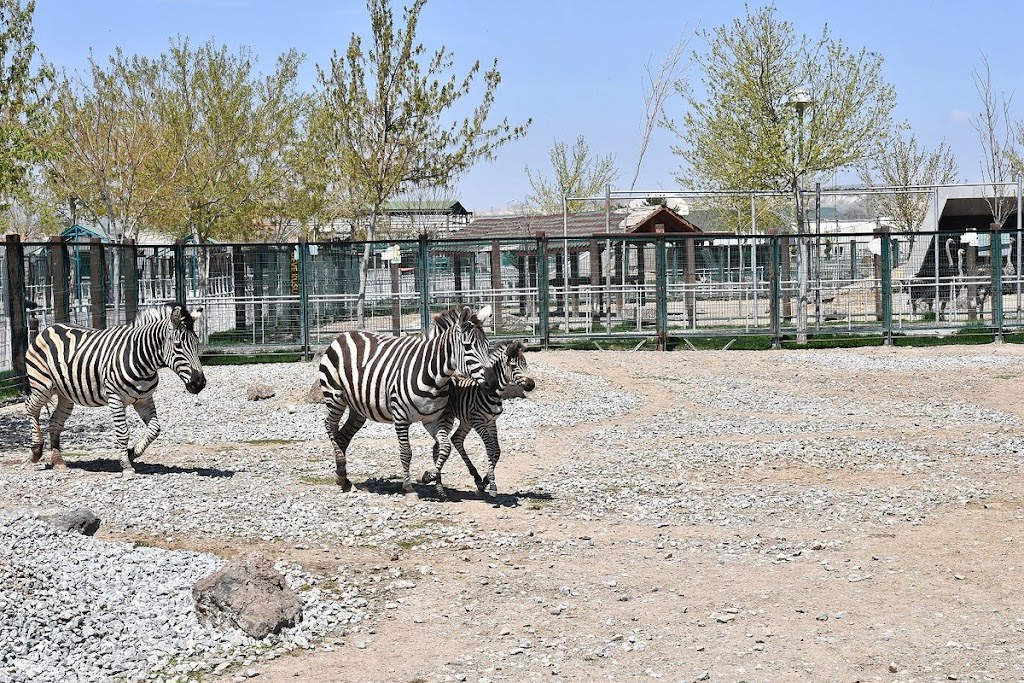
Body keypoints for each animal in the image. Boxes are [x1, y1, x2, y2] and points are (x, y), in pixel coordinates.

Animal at [24, 303, 206, 475]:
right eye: (178, 345)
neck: (141, 358)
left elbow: (154, 429)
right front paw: (126, 466)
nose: (199, 383)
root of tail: (49, 327)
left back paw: (58, 461)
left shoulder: (144, 399)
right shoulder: (115, 398)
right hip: (42, 386)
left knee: (55, 422)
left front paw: (132, 453)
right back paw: (35, 451)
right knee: (30, 407)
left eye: (196, 343)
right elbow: (123, 433)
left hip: (66, 394)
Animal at [319, 305, 495, 497]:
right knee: (329, 425)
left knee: (342, 436)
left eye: (487, 346)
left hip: (358, 408)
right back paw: (340, 473)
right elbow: (406, 452)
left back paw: (343, 478)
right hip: (335, 396)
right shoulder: (400, 417)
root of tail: (345, 334)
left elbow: (445, 448)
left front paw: (429, 476)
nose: (491, 382)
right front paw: (409, 487)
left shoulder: (433, 420)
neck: (435, 376)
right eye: (468, 347)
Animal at [421, 339, 536, 497]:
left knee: (454, 440)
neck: (493, 393)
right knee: (440, 446)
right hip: (448, 418)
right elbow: (490, 448)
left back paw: (469, 478)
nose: (532, 384)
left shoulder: (491, 422)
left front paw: (484, 482)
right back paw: (436, 483)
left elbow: (497, 450)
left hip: (465, 420)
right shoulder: (479, 421)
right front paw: (492, 484)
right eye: (513, 366)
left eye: (525, 364)